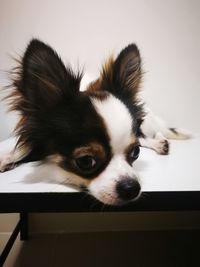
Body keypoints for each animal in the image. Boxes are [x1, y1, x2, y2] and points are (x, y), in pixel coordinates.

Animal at [0, 39, 191, 206]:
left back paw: (160, 143)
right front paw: (8, 158)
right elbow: (20, 150)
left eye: (135, 153)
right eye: (86, 161)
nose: (132, 188)